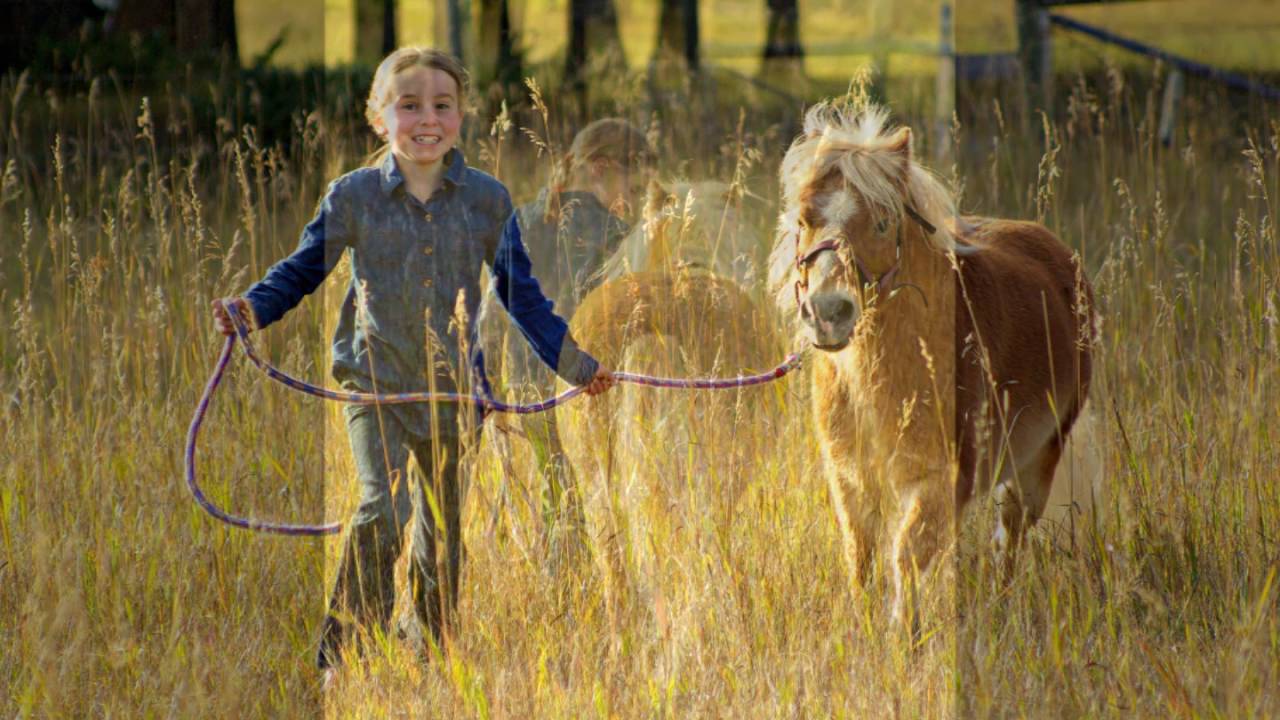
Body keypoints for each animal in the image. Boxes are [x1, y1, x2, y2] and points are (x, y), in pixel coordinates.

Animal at [767, 100, 1097, 627]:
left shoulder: (938, 480)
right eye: (802, 221)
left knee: (1011, 536)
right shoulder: (851, 478)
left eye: (883, 222)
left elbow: (907, 553)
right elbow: (861, 554)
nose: (828, 312)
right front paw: (865, 627)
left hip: (1040, 456)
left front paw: (903, 631)